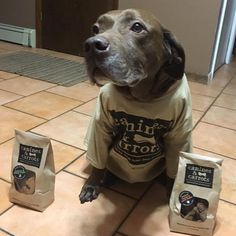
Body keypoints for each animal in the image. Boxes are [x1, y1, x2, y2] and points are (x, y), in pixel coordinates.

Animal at [79, 9, 192, 204]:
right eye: (95, 28)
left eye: (137, 27)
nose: (92, 45)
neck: (142, 97)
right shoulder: (100, 128)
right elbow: (97, 163)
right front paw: (92, 184)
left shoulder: (180, 135)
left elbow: (174, 169)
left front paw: (172, 193)